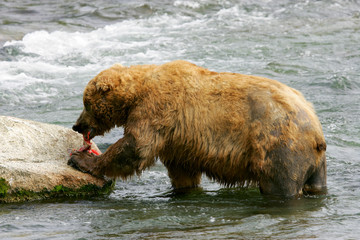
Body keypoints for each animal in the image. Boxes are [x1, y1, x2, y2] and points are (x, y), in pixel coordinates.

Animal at [69, 59, 328, 197]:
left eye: (86, 103)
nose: (77, 125)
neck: (135, 95)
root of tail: (315, 127)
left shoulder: (157, 110)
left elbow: (136, 146)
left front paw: (81, 160)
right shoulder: (179, 140)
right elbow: (183, 171)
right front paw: (183, 189)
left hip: (278, 145)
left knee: (279, 184)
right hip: (314, 160)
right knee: (316, 184)